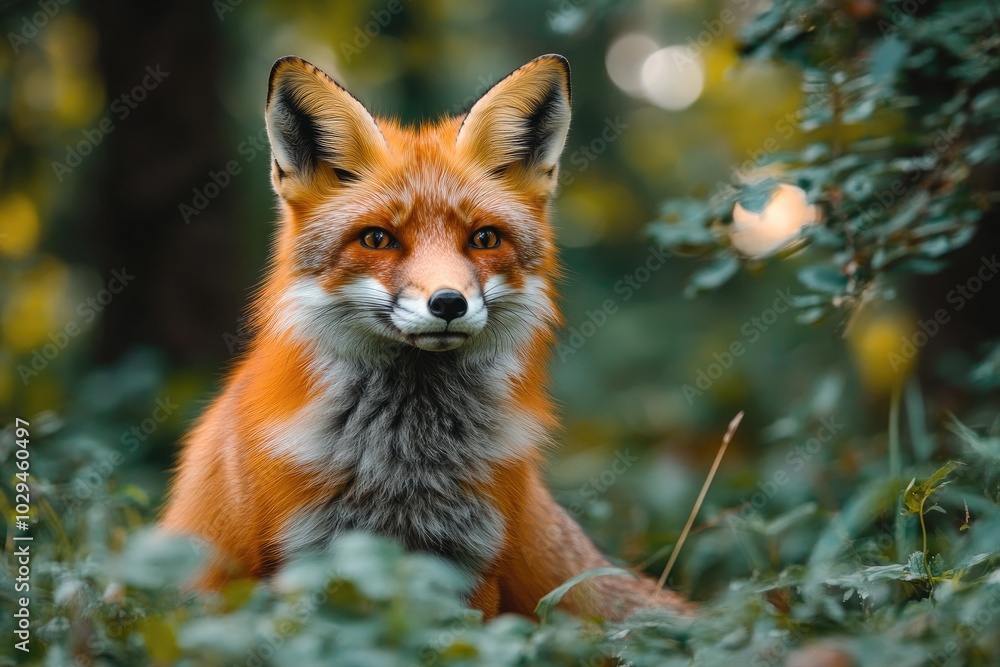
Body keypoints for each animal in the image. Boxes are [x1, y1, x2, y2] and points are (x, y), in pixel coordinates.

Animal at [162, 53, 690, 621]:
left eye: (484, 239)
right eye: (377, 239)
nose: (449, 304)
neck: (407, 463)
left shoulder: (470, 565)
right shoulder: (301, 563)